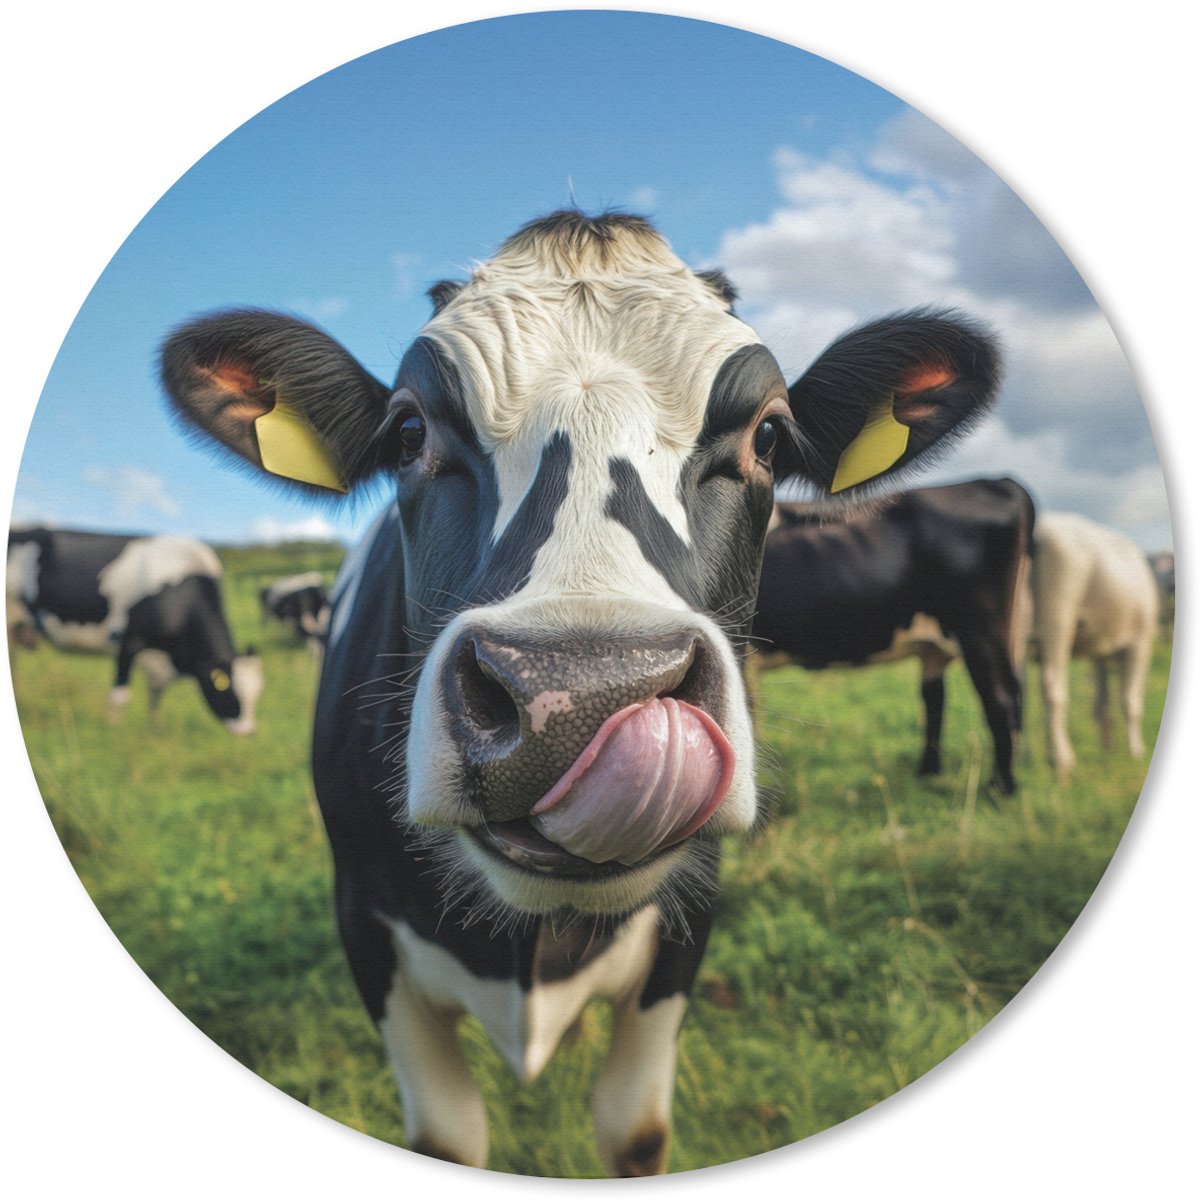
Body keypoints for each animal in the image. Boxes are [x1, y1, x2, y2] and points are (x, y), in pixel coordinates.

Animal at [7, 527, 263, 734]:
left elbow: (155, 697)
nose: (248, 732)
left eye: (257, 693)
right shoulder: (127, 642)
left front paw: (153, 730)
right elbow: (120, 696)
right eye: (229, 691)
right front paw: (114, 732)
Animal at [159, 211, 1000, 1174]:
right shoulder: (366, 934)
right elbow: (448, 1135)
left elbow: (633, 1131)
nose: (580, 696)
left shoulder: (685, 930)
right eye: (408, 432)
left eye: (770, 436)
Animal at [750, 478, 1035, 795]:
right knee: (938, 698)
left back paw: (999, 788)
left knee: (1000, 698)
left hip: (981, 629)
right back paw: (928, 773)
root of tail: (997, 481)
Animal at [1030, 512, 1159, 781]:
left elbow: (1102, 702)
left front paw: (1108, 749)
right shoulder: (1140, 643)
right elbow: (1131, 701)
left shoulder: (1100, 651)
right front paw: (1135, 752)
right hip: (1056, 616)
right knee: (1053, 687)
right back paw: (1061, 760)